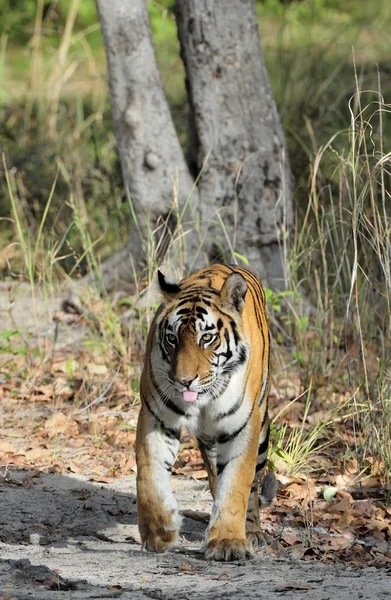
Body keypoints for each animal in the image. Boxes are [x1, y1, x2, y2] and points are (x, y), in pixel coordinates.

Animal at [136, 264, 278, 560]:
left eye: (207, 338)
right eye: (172, 338)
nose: (183, 380)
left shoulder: (242, 427)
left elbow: (236, 484)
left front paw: (228, 542)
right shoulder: (156, 418)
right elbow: (149, 476)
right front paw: (160, 533)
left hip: (261, 432)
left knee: (253, 488)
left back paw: (253, 532)